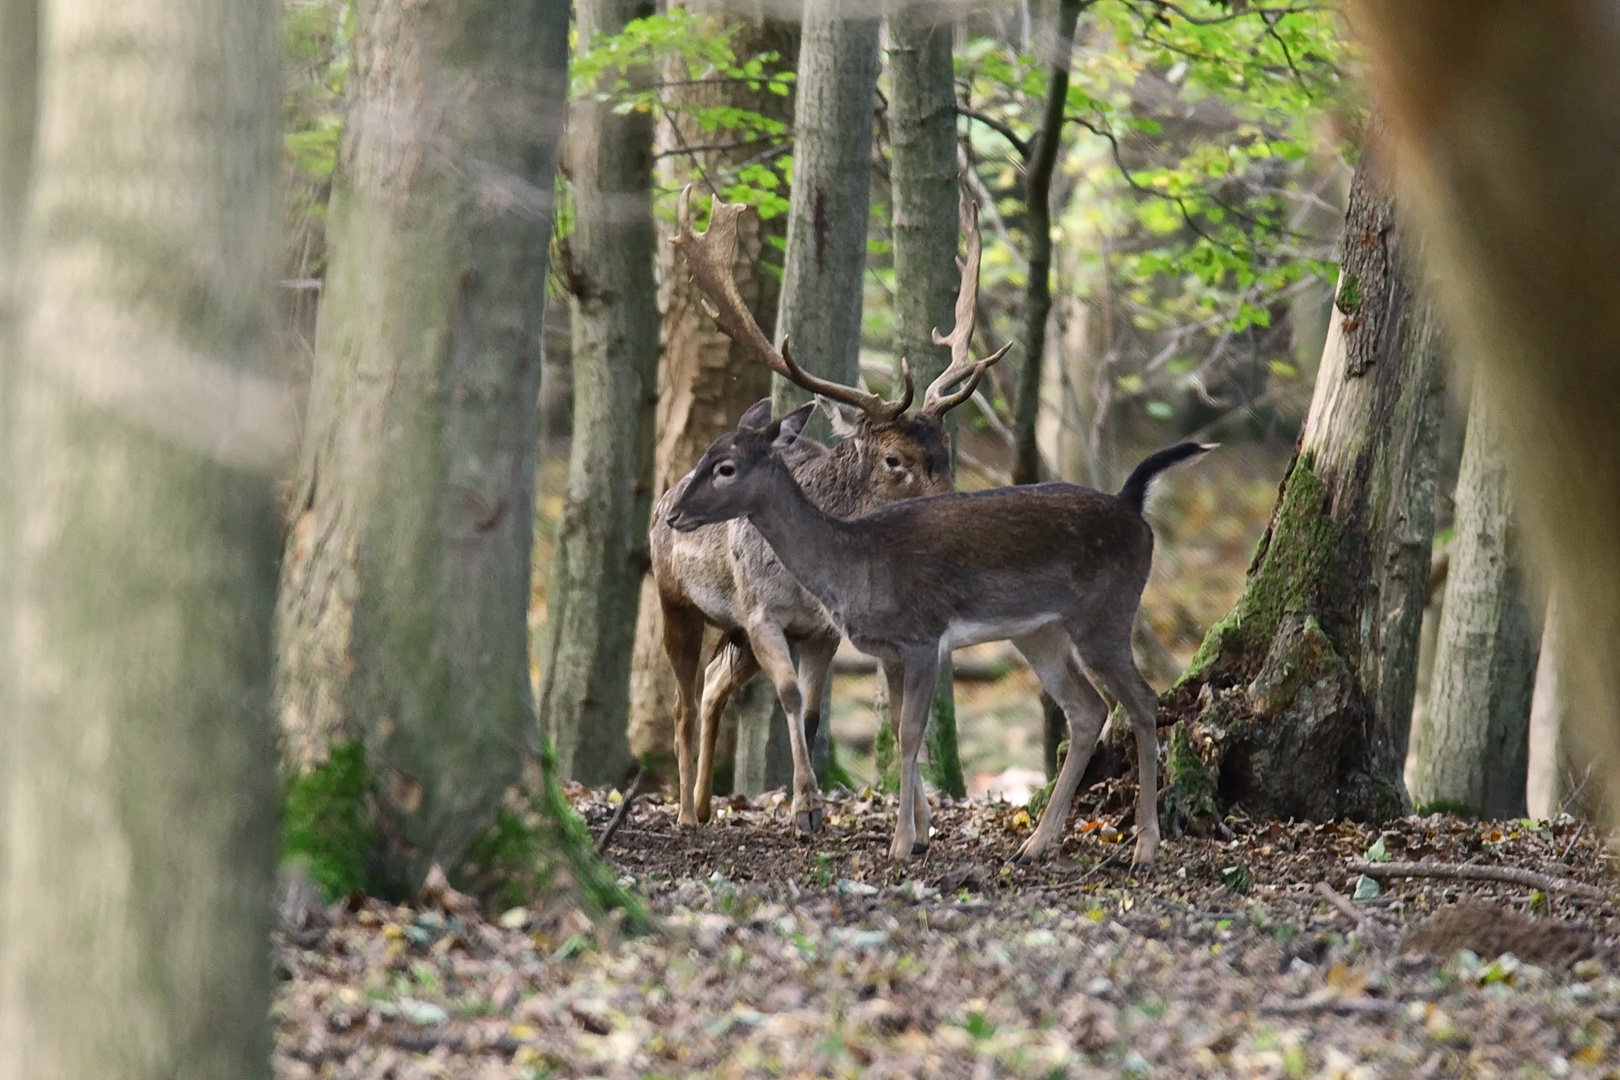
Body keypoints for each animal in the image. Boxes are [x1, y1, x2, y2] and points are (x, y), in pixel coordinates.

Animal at [648, 191, 1004, 835]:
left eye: (947, 449)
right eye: (894, 458)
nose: (960, 509)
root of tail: (667, 494)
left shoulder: (820, 631)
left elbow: (812, 711)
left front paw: (811, 803)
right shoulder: (760, 611)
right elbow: (789, 699)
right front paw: (806, 809)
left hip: (736, 630)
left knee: (714, 684)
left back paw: (709, 805)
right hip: (677, 598)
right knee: (684, 701)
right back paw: (686, 813)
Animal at [664, 404, 1211, 861]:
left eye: (726, 466)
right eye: (707, 452)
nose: (671, 513)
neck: (855, 563)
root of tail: (1134, 507)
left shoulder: (923, 635)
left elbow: (909, 733)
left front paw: (902, 844)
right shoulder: (890, 649)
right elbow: (902, 730)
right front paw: (914, 835)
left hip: (1107, 614)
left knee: (1142, 700)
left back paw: (1144, 847)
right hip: (1041, 632)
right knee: (1088, 708)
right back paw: (1034, 845)